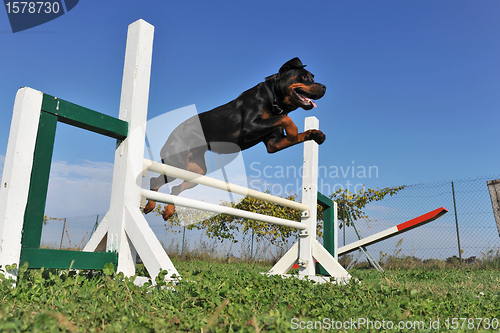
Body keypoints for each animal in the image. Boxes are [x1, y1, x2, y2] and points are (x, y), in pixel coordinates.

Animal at [143, 57, 326, 220]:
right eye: (304, 77)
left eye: (313, 77)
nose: (324, 87)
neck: (272, 97)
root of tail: (171, 136)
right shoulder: (250, 128)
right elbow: (286, 119)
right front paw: (294, 130)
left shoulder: (274, 143)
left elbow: (288, 128)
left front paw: (315, 134)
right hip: (176, 163)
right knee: (154, 180)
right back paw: (151, 205)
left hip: (196, 172)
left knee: (174, 189)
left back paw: (168, 211)